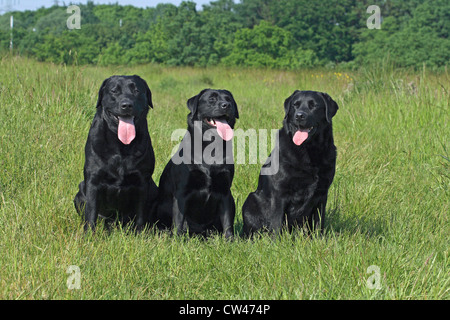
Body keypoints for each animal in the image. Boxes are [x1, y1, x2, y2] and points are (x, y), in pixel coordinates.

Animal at [74, 75, 158, 230]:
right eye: (114, 91)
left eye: (136, 90)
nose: (127, 105)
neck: (121, 146)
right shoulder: (93, 181)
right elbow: (91, 214)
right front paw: (88, 234)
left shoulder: (143, 182)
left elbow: (140, 216)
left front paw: (139, 234)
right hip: (81, 190)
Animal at [156, 89, 239, 239]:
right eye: (211, 99)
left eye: (229, 99)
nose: (226, 105)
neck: (211, 149)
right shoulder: (181, 192)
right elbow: (178, 221)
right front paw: (176, 240)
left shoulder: (225, 192)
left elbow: (227, 221)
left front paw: (230, 240)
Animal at [243, 90, 338, 235]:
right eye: (295, 105)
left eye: (313, 105)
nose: (299, 116)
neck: (310, 151)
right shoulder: (279, 193)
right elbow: (276, 224)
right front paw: (276, 241)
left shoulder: (322, 194)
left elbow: (318, 223)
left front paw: (319, 238)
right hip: (251, 199)